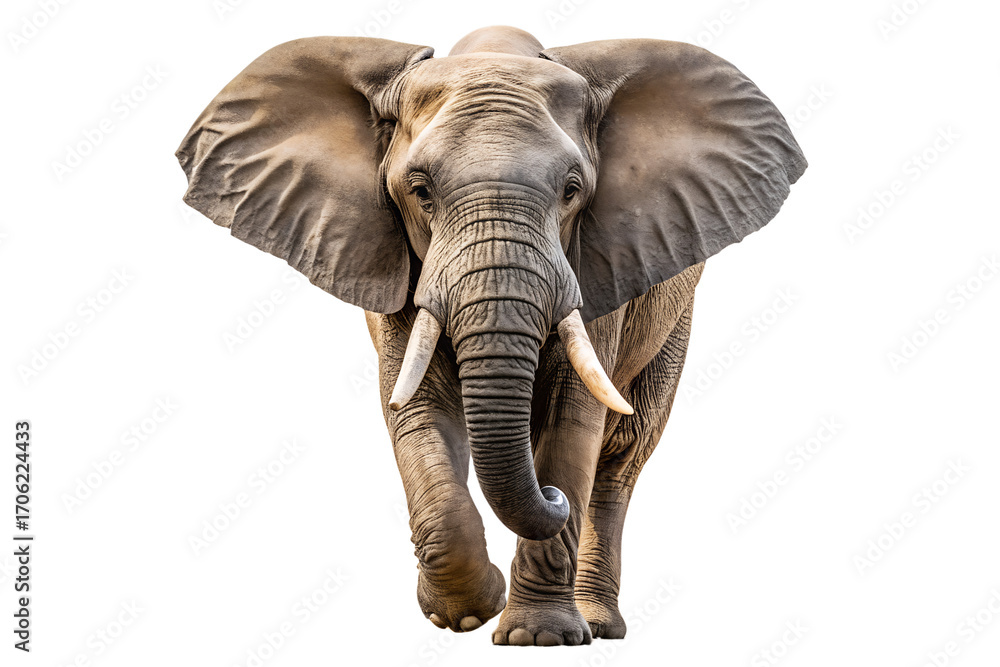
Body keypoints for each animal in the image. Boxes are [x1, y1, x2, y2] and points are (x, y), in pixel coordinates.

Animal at [176, 26, 806, 645]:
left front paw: (538, 637)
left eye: (572, 190)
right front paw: (464, 614)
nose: (553, 499)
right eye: (420, 190)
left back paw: (598, 623)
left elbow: (571, 418)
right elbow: (417, 408)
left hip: (674, 316)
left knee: (622, 453)